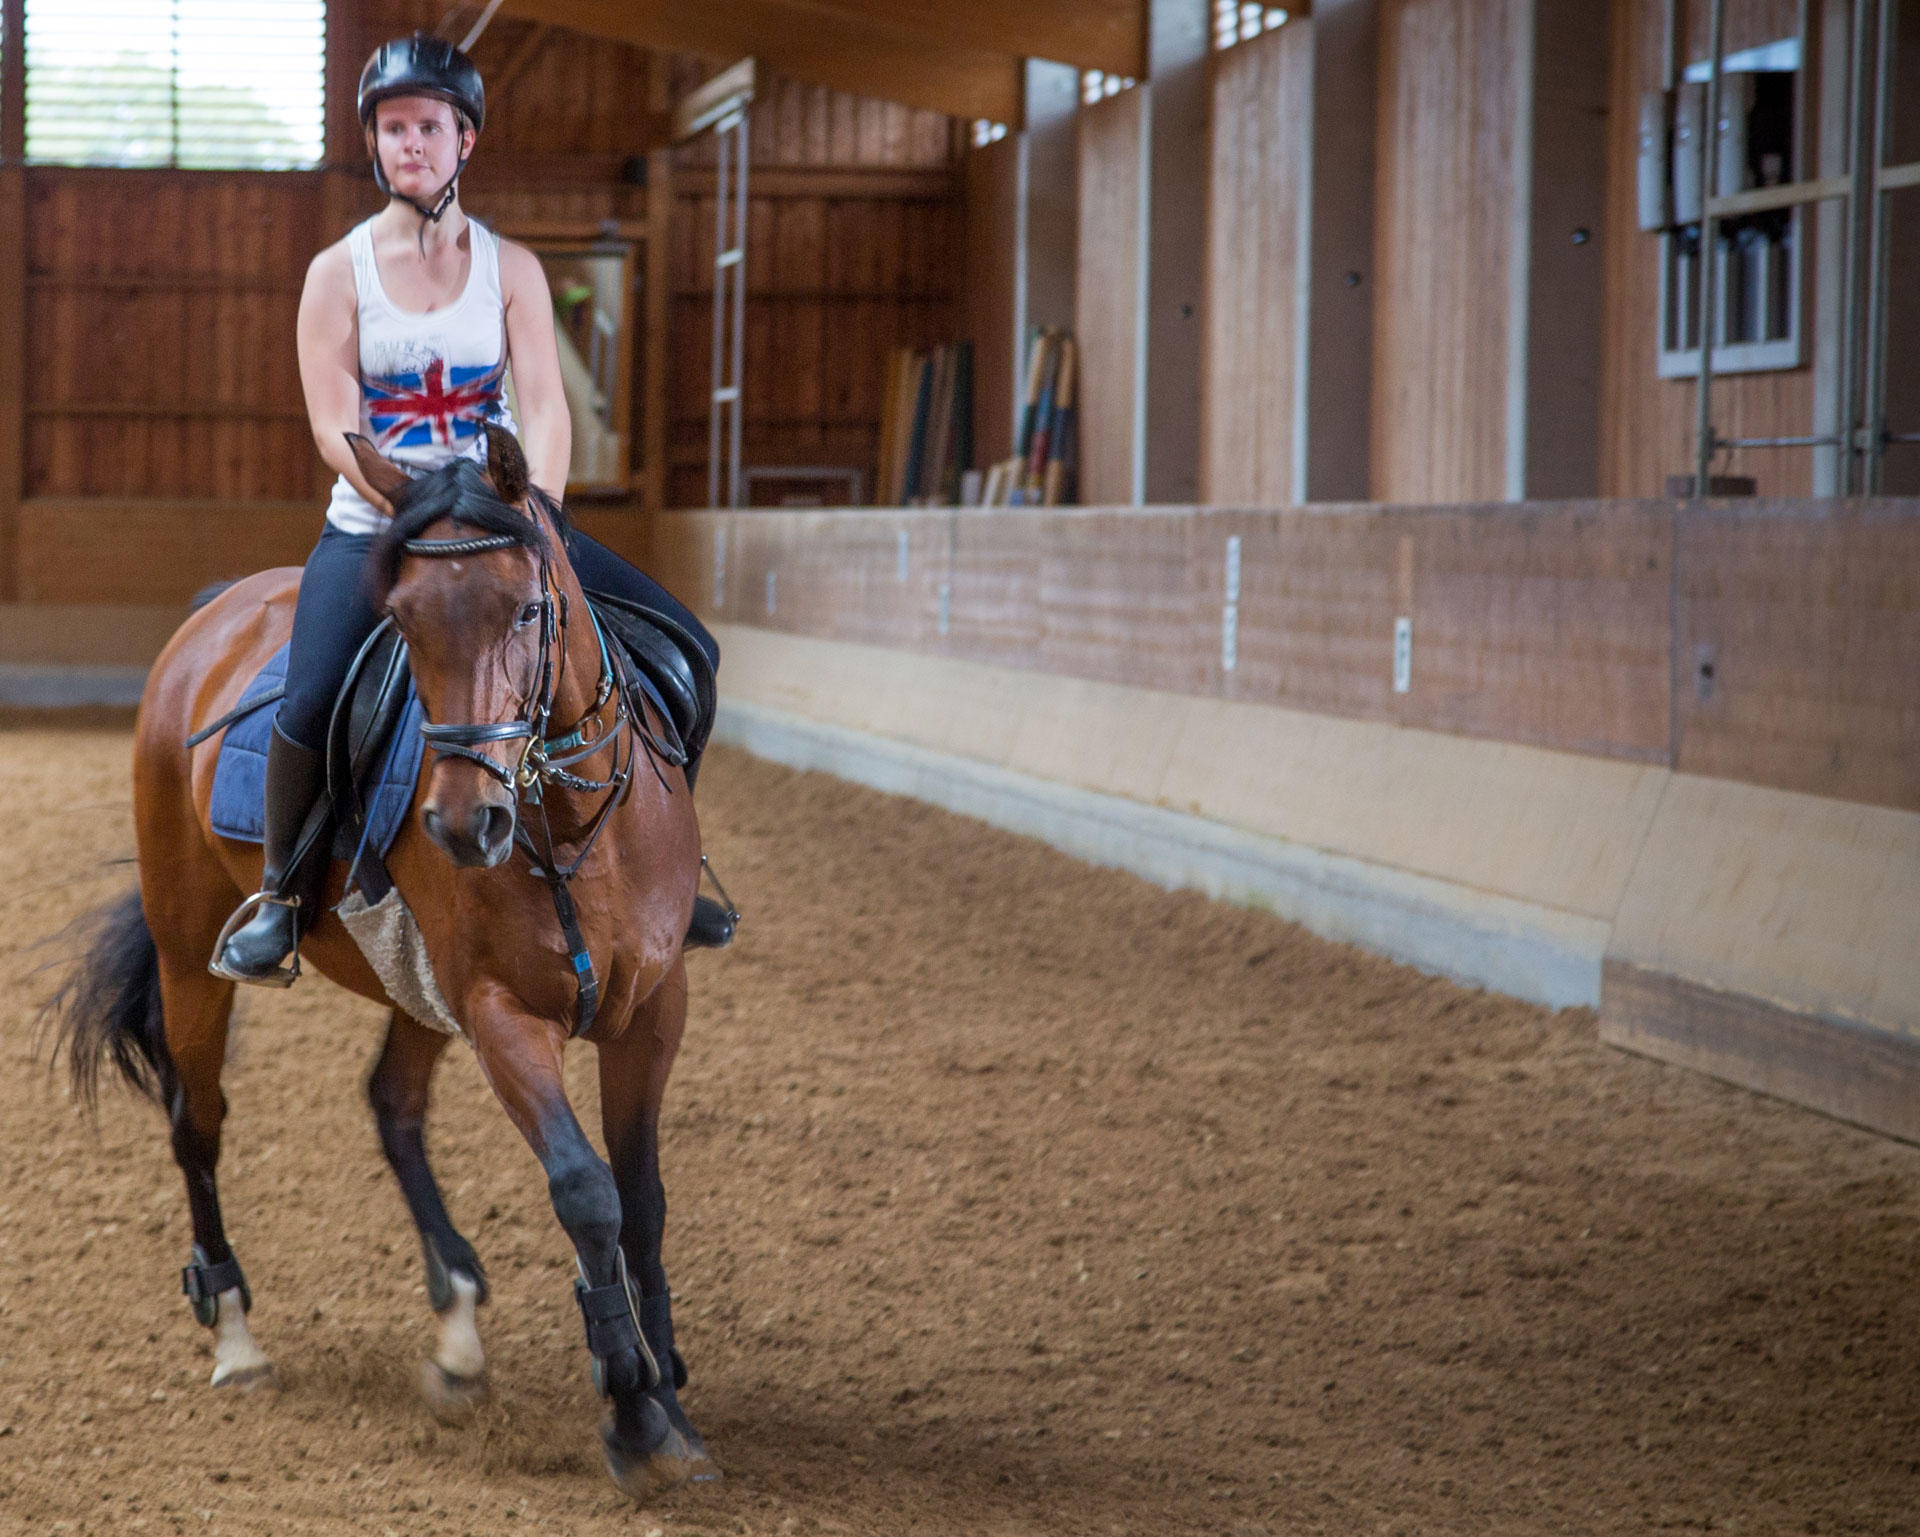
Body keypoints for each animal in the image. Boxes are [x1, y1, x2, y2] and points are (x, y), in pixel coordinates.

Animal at [45, 425, 721, 1504]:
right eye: (400, 619)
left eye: (527, 608)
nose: (462, 824)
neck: (571, 825)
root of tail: (218, 610)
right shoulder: (499, 1011)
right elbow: (587, 1189)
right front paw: (630, 1404)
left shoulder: (654, 1008)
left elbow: (644, 1200)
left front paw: (673, 1402)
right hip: (192, 949)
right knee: (199, 1119)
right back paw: (234, 1330)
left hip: (419, 987)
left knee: (392, 1103)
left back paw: (456, 1320)